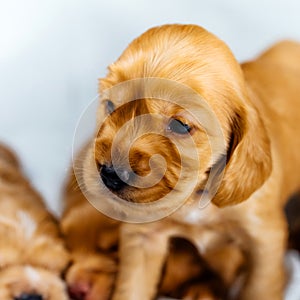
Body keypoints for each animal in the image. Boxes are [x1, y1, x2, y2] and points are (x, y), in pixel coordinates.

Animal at [71, 24, 298, 300]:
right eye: (111, 104)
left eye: (180, 125)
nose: (109, 175)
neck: (195, 196)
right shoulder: (144, 237)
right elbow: (132, 288)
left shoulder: (265, 240)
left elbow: (259, 288)